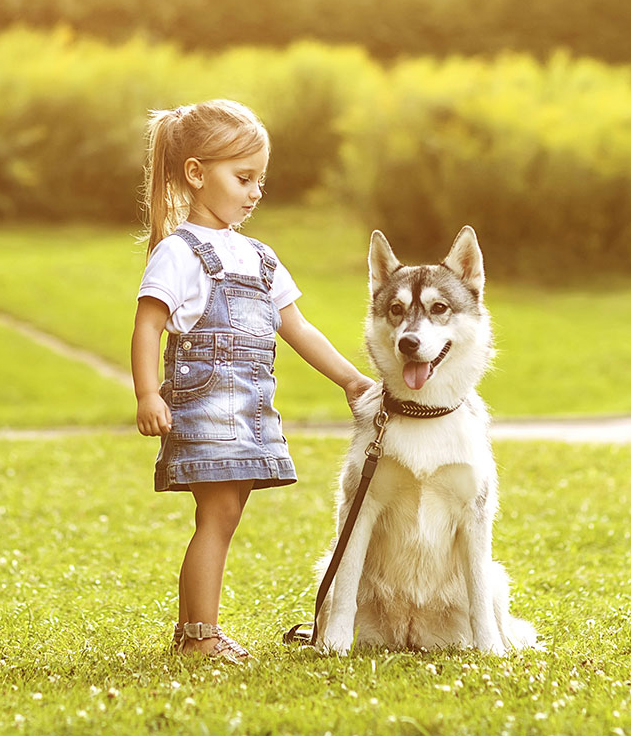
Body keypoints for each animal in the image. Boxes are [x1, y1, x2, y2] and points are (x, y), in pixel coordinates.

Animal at [318, 227, 540, 652]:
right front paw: (334, 645)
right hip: (327, 563)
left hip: (497, 577)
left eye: (439, 308)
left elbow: (478, 598)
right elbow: (345, 590)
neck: (424, 413)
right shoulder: (359, 506)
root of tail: (409, 632)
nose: (408, 342)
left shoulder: (475, 514)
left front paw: (491, 651)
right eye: (396, 310)